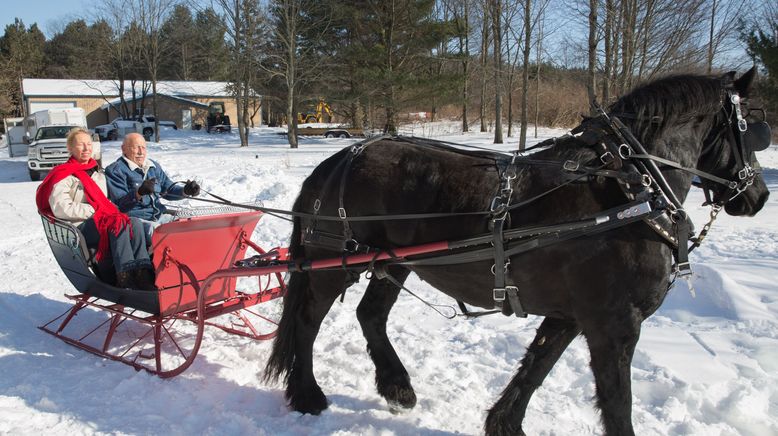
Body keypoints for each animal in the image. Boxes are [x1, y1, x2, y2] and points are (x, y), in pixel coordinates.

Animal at [264, 70, 768, 434]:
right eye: (754, 129)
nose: (759, 196)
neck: (632, 190)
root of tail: (336, 159)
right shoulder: (614, 324)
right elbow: (617, 401)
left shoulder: (572, 315)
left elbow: (536, 367)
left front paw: (504, 423)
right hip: (334, 263)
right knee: (307, 321)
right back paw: (307, 394)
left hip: (393, 262)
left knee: (370, 315)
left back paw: (397, 387)